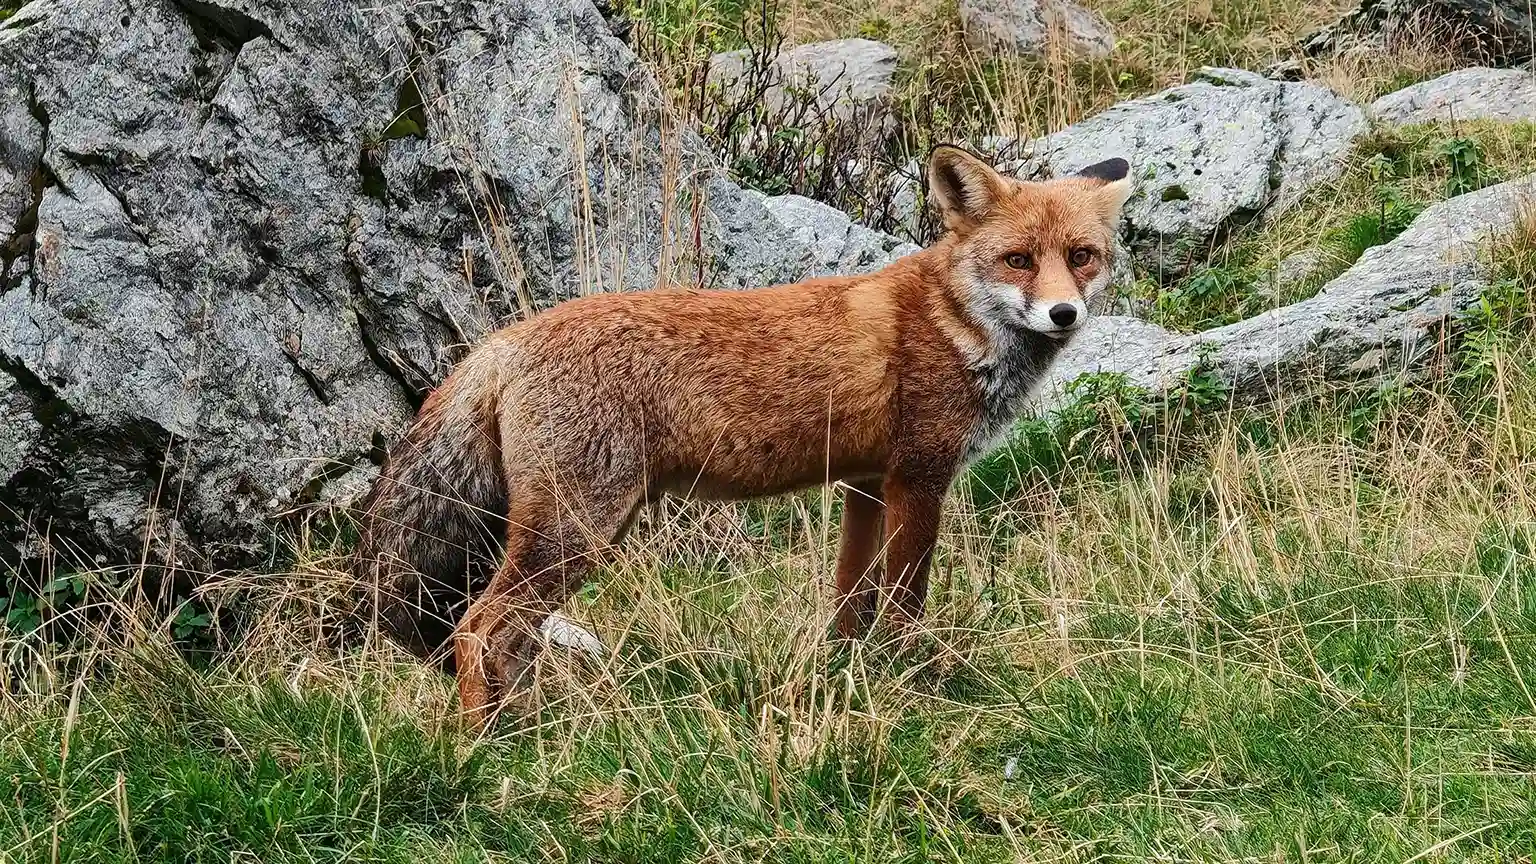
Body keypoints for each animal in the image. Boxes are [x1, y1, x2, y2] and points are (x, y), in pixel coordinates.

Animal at [354, 145, 1133, 727]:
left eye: (1082, 256)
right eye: (1019, 261)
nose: (1063, 314)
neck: (951, 321)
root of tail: (504, 341)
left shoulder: (865, 484)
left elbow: (850, 604)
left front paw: (846, 676)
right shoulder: (920, 477)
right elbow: (905, 604)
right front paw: (911, 680)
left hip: (587, 530)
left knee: (505, 641)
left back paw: (524, 732)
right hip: (579, 530)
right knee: (478, 627)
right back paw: (480, 747)